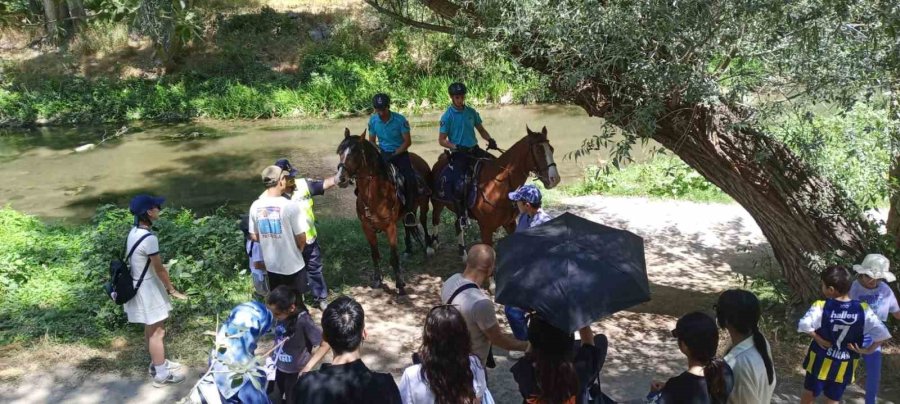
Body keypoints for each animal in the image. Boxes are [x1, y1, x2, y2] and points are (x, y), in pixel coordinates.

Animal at [338, 128, 436, 296]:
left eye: (355, 153)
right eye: (339, 152)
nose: (340, 179)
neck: (375, 194)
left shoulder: (390, 227)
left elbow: (393, 257)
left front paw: (400, 284)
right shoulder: (367, 228)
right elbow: (375, 255)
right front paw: (378, 280)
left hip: (424, 204)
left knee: (423, 221)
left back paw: (428, 247)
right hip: (408, 211)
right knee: (409, 225)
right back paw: (409, 249)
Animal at [432, 126, 560, 258]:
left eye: (552, 149)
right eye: (538, 151)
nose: (555, 179)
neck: (497, 186)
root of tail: (441, 160)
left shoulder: (510, 224)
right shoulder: (486, 228)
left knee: (457, 225)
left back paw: (463, 253)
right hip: (437, 202)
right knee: (436, 219)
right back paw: (432, 246)